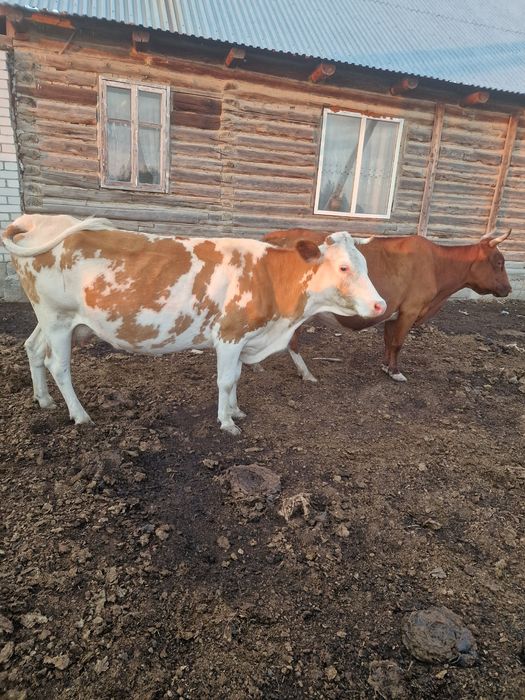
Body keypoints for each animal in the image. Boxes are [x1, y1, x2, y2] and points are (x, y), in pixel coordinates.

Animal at [3, 214, 386, 434]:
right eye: (343, 267)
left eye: (366, 265)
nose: (380, 304)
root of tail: (37, 219)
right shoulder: (229, 336)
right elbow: (226, 380)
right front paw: (227, 422)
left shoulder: (243, 338)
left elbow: (236, 379)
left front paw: (236, 410)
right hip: (57, 318)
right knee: (58, 365)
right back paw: (80, 415)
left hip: (52, 319)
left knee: (33, 349)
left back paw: (43, 400)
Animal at [263, 228, 512, 383]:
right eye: (500, 262)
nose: (508, 289)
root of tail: (276, 235)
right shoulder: (410, 310)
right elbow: (398, 343)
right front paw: (395, 372)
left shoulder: (394, 312)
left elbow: (388, 341)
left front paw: (385, 366)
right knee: (292, 341)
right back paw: (305, 373)